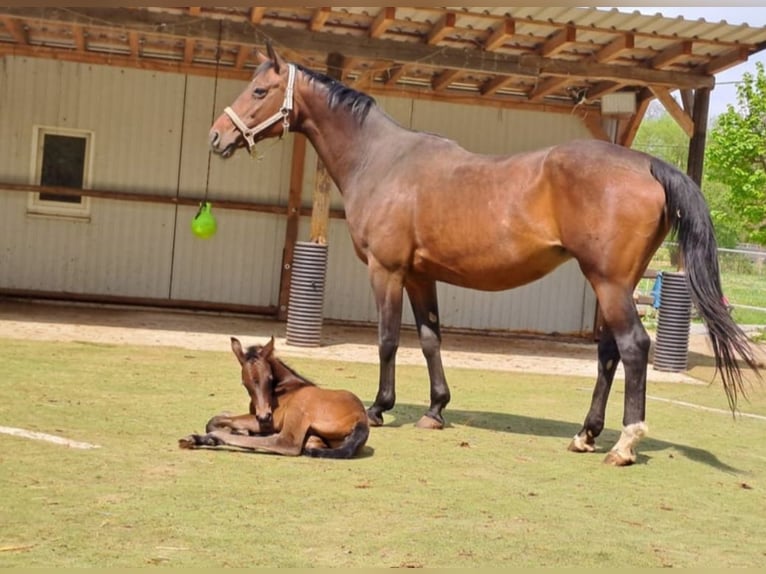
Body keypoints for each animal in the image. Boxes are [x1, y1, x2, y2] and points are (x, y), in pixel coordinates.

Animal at [181, 336, 372, 462]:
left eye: (270, 378)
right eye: (244, 383)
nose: (265, 416)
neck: (283, 387)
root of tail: (361, 418)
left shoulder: (269, 420)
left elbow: (215, 420)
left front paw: (214, 435)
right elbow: (223, 415)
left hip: (298, 408)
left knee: (284, 443)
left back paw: (201, 438)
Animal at [208, 44, 760, 468]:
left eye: (259, 92)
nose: (217, 136)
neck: (382, 160)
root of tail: (647, 163)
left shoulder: (387, 271)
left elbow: (387, 340)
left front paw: (381, 408)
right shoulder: (420, 275)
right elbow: (430, 339)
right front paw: (435, 410)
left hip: (609, 282)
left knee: (634, 348)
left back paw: (623, 444)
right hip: (612, 284)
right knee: (608, 354)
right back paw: (585, 434)